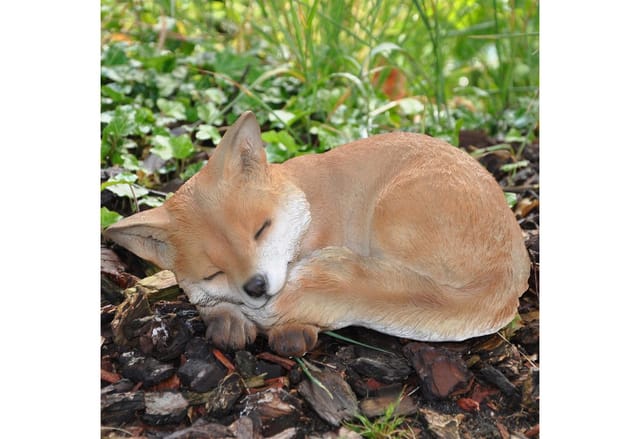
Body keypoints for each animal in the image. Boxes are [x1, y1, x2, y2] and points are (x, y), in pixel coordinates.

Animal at [104, 111, 531, 357]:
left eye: (261, 229)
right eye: (214, 271)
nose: (256, 286)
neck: (311, 207)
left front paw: (291, 328)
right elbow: (206, 300)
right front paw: (227, 319)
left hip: (391, 217)